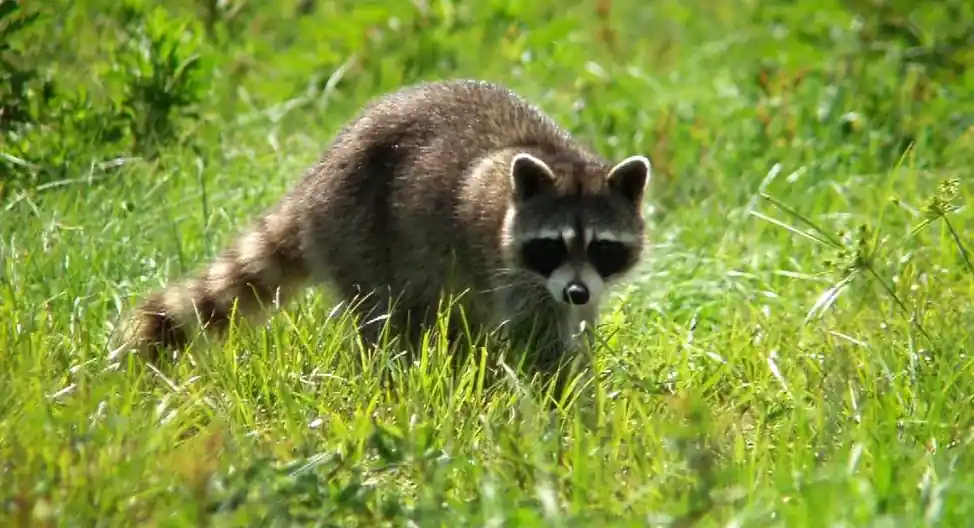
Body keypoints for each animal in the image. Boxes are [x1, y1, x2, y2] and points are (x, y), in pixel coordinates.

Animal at [117, 79, 652, 369]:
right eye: (552, 245)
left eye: (603, 247)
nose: (577, 292)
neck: (558, 160)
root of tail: (314, 179)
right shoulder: (510, 269)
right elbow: (535, 338)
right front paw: (558, 391)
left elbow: (573, 324)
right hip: (357, 233)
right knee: (393, 319)